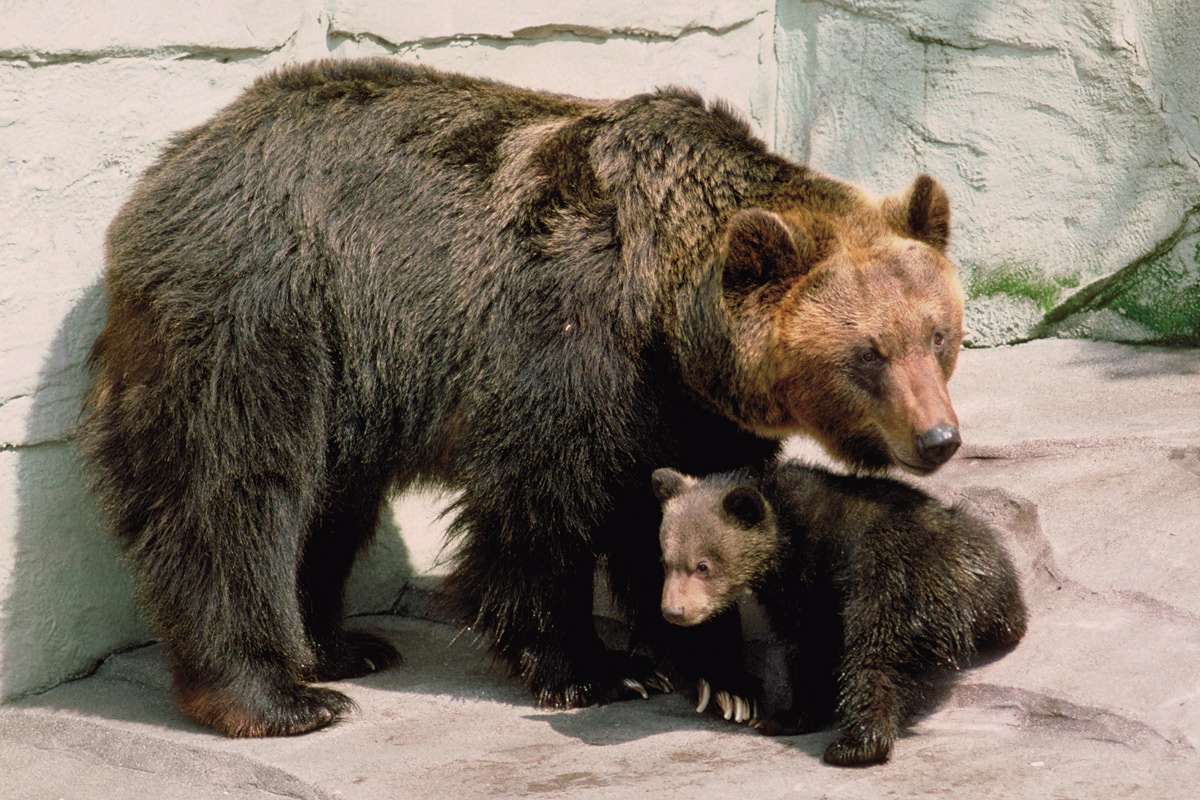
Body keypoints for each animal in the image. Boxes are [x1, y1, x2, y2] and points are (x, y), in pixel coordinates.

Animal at [82, 57, 964, 738]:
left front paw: (724, 677)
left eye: (938, 336)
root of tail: (171, 167)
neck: (661, 315)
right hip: (265, 308)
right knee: (232, 495)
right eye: (868, 353)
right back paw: (279, 693)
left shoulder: (688, 410)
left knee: (331, 505)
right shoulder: (561, 344)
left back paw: (341, 646)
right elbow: (542, 510)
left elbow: (692, 511)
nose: (939, 439)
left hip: (345, 378)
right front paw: (595, 668)